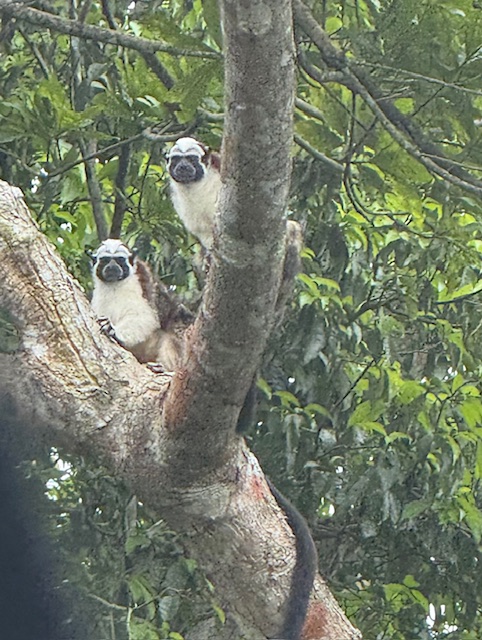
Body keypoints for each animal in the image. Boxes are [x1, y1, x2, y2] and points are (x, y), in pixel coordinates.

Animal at [90, 239, 190, 371]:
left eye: (119, 260)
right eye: (105, 260)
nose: (112, 267)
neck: (114, 284)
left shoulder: (140, 282)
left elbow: (145, 316)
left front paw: (114, 331)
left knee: (178, 322)